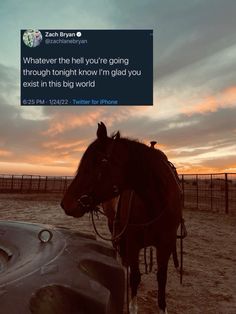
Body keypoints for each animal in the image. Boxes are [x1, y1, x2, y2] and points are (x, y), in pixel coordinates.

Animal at [61, 121, 183, 312]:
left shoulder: (166, 244)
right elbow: (135, 277)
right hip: (113, 225)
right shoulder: (132, 242)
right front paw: (132, 307)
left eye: (101, 161)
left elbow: (161, 278)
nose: (66, 203)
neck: (155, 203)